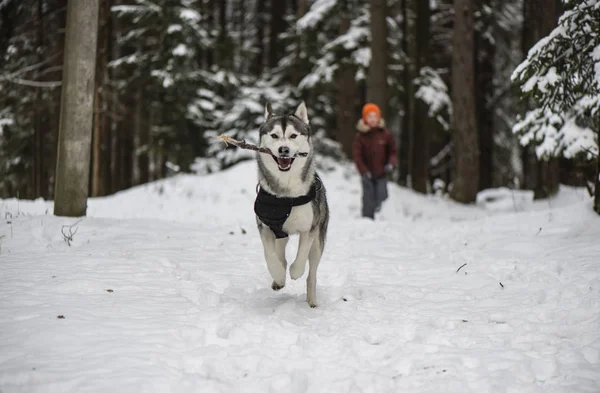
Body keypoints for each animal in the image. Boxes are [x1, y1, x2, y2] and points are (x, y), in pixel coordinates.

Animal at [252, 100, 330, 306]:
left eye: (293, 135)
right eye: (274, 135)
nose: (284, 150)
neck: (286, 195)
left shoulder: (309, 228)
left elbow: (302, 255)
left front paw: (295, 272)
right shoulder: (265, 225)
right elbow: (269, 255)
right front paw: (279, 276)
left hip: (319, 238)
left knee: (312, 272)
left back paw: (312, 300)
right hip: (281, 232)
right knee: (280, 253)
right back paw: (279, 279)